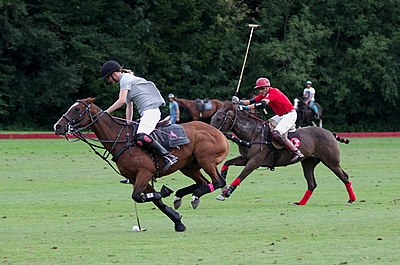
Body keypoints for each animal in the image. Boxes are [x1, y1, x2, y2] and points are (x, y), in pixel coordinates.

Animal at [53, 97, 230, 231]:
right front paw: (178, 221)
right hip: (188, 166)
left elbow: (138, 197)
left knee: (218, 181)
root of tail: (219, 133)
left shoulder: (145, 173)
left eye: (77, 109)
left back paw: (193, 195)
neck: (121, 139)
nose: (58, 126)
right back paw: (183, 196)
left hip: (206, 160)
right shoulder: (135, 177)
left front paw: (164, 192)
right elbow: (153, 200)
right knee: (204, 182)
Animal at [209, 104, 356, 205]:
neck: (252, 134)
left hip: (331, 161)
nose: (211, 132)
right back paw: (300, 203)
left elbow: (241, 176)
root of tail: (330, 133)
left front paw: (226, 192)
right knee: (312, 184)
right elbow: (227, 163)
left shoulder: (254, 161)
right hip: (308, 162)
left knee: (344, 177)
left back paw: (351, 199)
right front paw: (223, 181)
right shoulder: (245, 158)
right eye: (212, 117)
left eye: (219, 118)